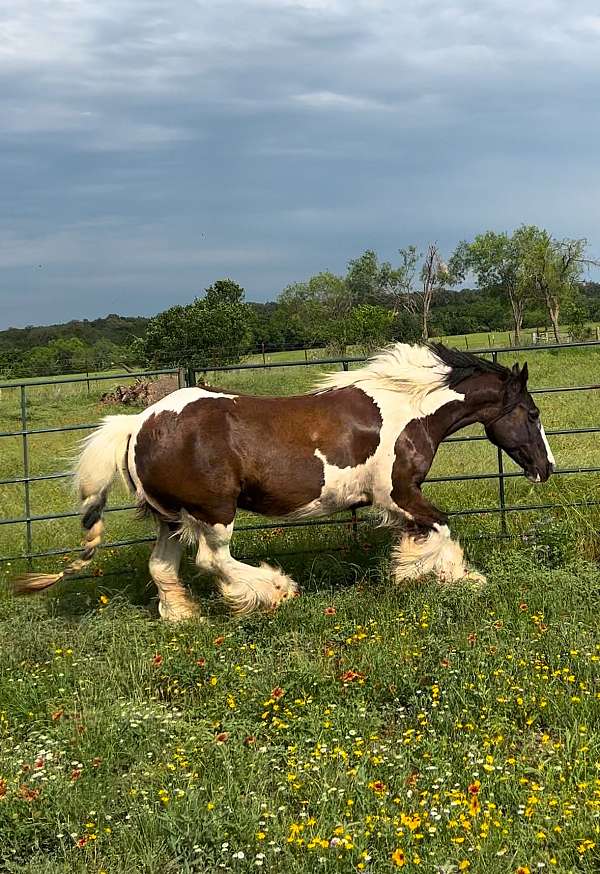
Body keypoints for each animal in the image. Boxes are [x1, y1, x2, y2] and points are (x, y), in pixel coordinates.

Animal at [14, 344, 556, 616]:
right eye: (532, 413)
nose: (546, 467)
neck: (409, 409)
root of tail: (137, 425)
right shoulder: (399, 493)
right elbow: (441, 526)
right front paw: (437, 574)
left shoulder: (397, 502)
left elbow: (429, 533)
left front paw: (434, 572)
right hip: (214, 512)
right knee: (214, 560)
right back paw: (274, 591)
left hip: (171, 519)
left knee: (162, 568)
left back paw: (186, 617)